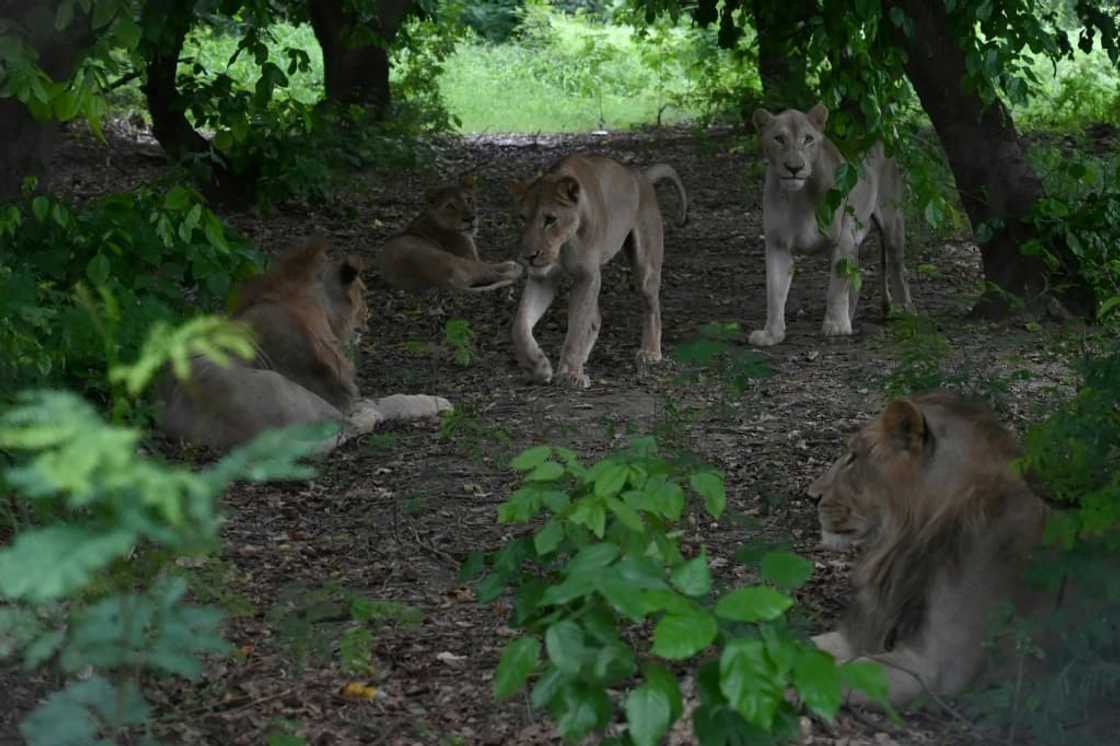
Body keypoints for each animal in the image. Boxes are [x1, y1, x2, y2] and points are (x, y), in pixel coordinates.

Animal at [159, 239, 451, 453]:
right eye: (363, 292)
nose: (369, 318)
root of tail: (253, 440)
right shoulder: (342, 398)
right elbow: (391, 400)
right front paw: (436, 401)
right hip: (295, 393)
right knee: (350, 426)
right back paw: (370, 417)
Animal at [377, 175, 524, 293]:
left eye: (469, 199)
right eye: (450, 206)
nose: (470, 218)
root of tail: (442, 283)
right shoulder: (470, 257)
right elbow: (491, 264)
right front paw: (510, 263)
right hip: (462, 262)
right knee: (494, 274)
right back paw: (516, 270)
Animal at [510, 154, 688, 388]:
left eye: (550, 219)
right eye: (522, 218)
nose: (528, 256)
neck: (564, 243)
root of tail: (639, 174)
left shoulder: (587, 275)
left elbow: (577, 326)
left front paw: (570, 374)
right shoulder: (543, 278)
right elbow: (520, 324)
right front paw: (537, 366)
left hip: (645, 266)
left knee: (652, 307)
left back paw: (650, 353)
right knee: (595, 317)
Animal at [749, 104, 913, 347]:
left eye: (808, 139)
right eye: (779, 138)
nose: (794, 167)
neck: (798, 197)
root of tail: (879, 137)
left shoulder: (843, 237)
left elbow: (837, 286)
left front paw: (836, 326)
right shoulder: (777, 244)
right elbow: (774, 291)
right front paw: (772, 334)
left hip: (892, 222)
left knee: (897, 267)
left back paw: (905, 310)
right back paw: (851, 316)